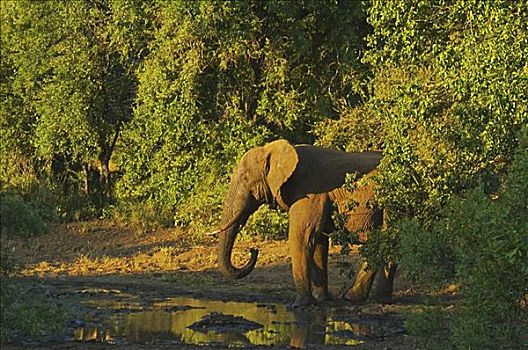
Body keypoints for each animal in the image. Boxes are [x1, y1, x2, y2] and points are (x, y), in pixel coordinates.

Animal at [212, 139, 394, 306]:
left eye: (244, 179)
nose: (254, 249)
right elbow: (318, 242)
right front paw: (321, 299)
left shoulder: (310, 192)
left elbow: (302, 237)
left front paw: (300, 304)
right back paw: (359, 298)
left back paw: (373, 299)